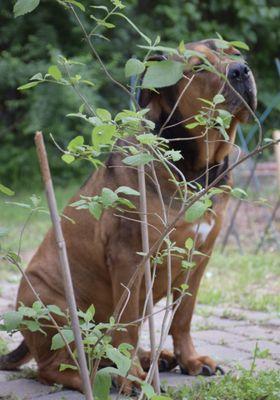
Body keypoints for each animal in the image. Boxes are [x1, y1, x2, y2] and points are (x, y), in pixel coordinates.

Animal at [1, 39, 258, 394]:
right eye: (199, 67)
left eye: (234, 53)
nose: (242, 70)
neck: (194, 167)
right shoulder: (130, 257)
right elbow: (128, 327)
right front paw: (129, 375)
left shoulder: (199, 257)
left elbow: (183, 316)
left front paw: (191, 360)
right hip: (55, 304)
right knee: (55, 366)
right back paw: (104, 375)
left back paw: (155, 358)